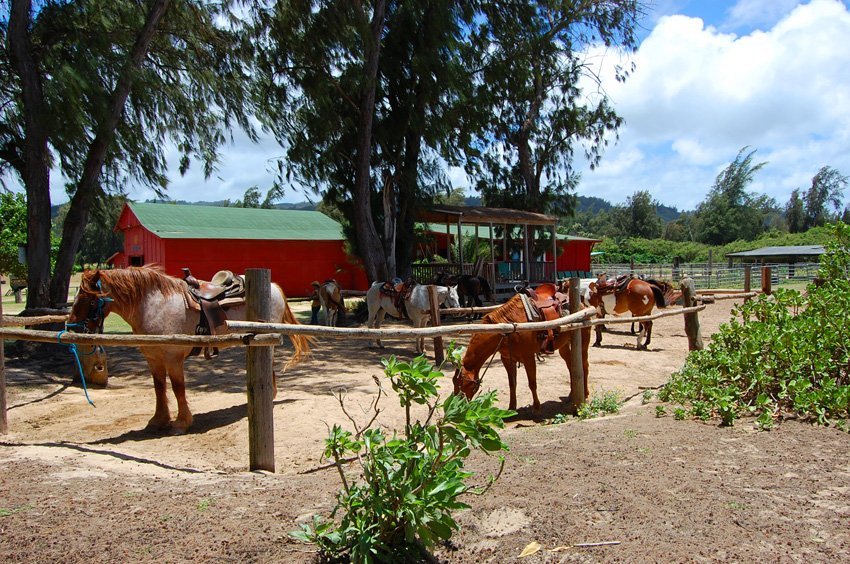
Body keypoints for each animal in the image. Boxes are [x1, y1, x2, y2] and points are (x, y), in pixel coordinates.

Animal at [66, 266, 312, 434]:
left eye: (89, 300)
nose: (72, 329)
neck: (153, 305)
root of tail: (275, 287)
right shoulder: (153, 359)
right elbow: (159, 388)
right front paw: (158, 420)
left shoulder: (173, 358)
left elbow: (177, 389)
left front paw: (181, 423)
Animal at [450, 294, 588, 412]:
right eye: (454, 383)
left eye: (461, 383)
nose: (457, 406)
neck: (507, 329)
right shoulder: (507, 359)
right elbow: (512, 383)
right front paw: (512, 407)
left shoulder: (528, 358)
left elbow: (532, 383)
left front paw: (536, 407)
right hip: (564, 346)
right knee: (571, 366)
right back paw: (571, 395)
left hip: (583, 342)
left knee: (584, 367)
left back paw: (585, 395)